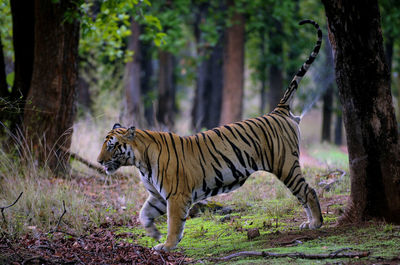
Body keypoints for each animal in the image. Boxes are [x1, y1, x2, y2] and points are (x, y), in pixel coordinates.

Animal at [97, 19, 324, 251]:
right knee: (303, 194)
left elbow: (174, 223)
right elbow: (143, 214)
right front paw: (153, 233)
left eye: (112, 146)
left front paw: (167, 245)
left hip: (285, 164)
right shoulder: (157, 196)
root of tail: (278, 111)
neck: (140, 163)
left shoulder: (176, 195)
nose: (98, 161)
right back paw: (308, 223)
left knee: (308, 191)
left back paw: (316, 223)